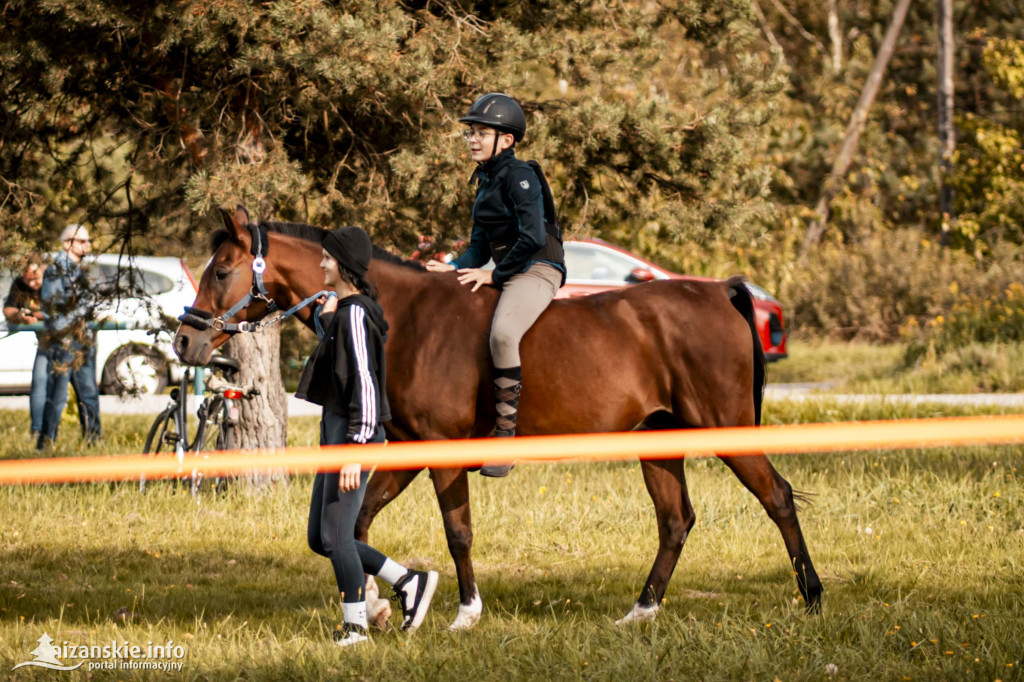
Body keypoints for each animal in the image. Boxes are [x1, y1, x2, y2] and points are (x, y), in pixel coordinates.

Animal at [169, 206, 823, 626]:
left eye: (221, 270)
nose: (185, 342)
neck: (402, 316)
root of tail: (719, 291)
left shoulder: (443, 453)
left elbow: (457, 532)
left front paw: (465, 613)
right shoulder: (407, 454)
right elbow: (357, 528)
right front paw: (382, 603)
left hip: (726, 432)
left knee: (777, 497)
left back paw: (812, 598)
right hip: (657, 442)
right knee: (675, 521)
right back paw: (641, 612)